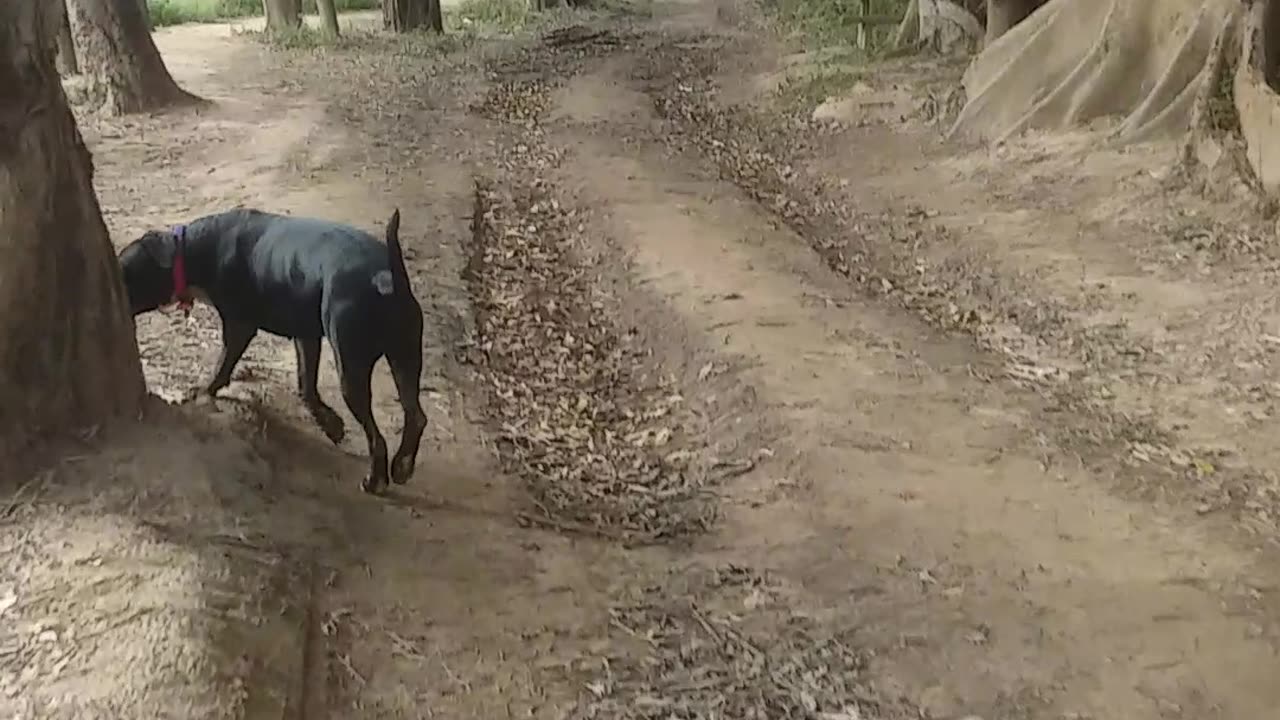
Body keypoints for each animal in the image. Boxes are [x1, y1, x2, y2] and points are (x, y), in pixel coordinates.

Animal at [116, 204, 424, 489]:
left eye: (126, 272)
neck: (189, 251)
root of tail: (385, 278)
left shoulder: (239, 327)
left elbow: (222, 367)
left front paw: (202, 391)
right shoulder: (305, 337)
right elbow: (306, 386)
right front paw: (331, 425)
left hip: (352, 367)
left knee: (377, 436)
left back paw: (376, 479)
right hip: (405, 359)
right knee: (416, 415)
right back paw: (402, 465)